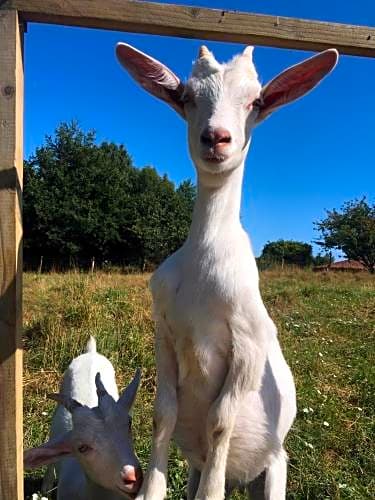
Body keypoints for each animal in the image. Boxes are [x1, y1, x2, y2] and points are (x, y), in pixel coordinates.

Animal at [116, 44, 340, 500]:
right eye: (186, 96)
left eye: (255, 101)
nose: (216, 137)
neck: (205, 260)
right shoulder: (165, 333)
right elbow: (163, 411)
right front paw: (152, 489)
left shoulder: (248, 344)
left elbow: (220, 420)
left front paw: (212, 492)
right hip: (196, 468)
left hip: (273, 469)